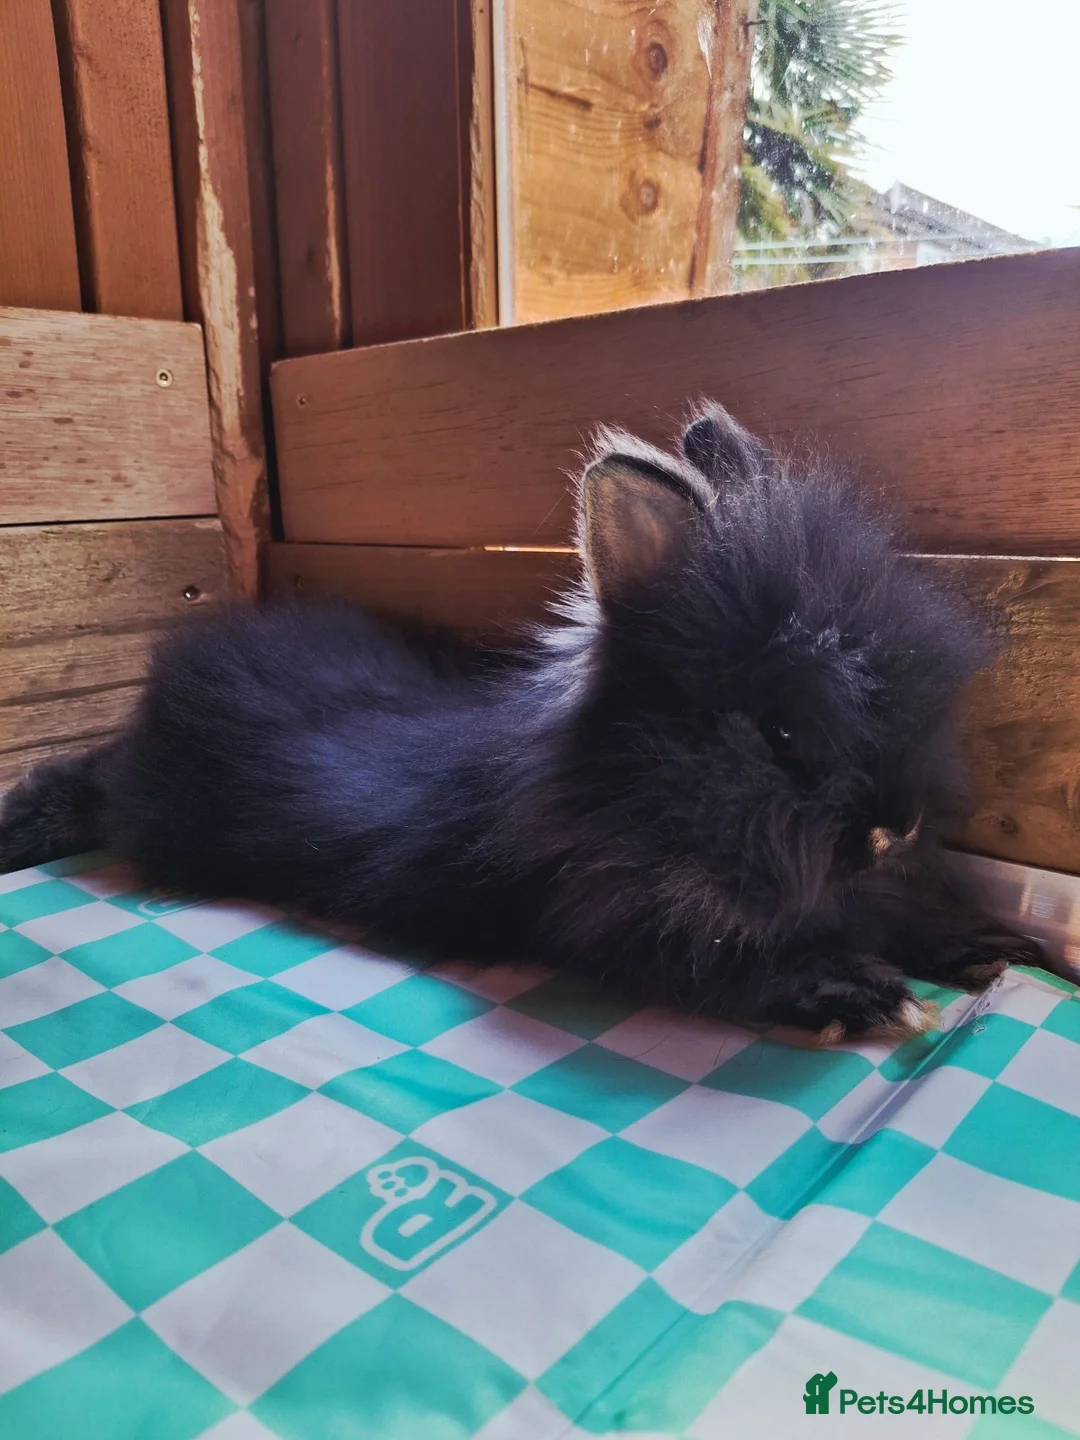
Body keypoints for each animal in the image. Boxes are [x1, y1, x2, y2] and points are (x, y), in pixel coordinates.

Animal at [0, 403, 1042, 1040]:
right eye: (784, 734)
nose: (899, 825)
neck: (634, 796)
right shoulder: (611, 925)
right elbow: (726, 964)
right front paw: (859, 993)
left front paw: (987, 946)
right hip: (164, 806)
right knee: (89, 781)